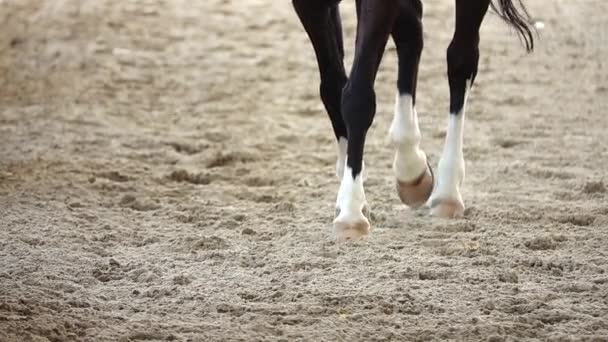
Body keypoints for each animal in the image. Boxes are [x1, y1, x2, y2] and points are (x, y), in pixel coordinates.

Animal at [292, 0, 536, 242]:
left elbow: (358, 96)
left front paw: (351, 212)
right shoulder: (309, 5)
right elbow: (333, 88)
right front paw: (351, 197)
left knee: (461, 59)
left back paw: (446, 191)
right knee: (411, 27)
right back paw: (411, 169)